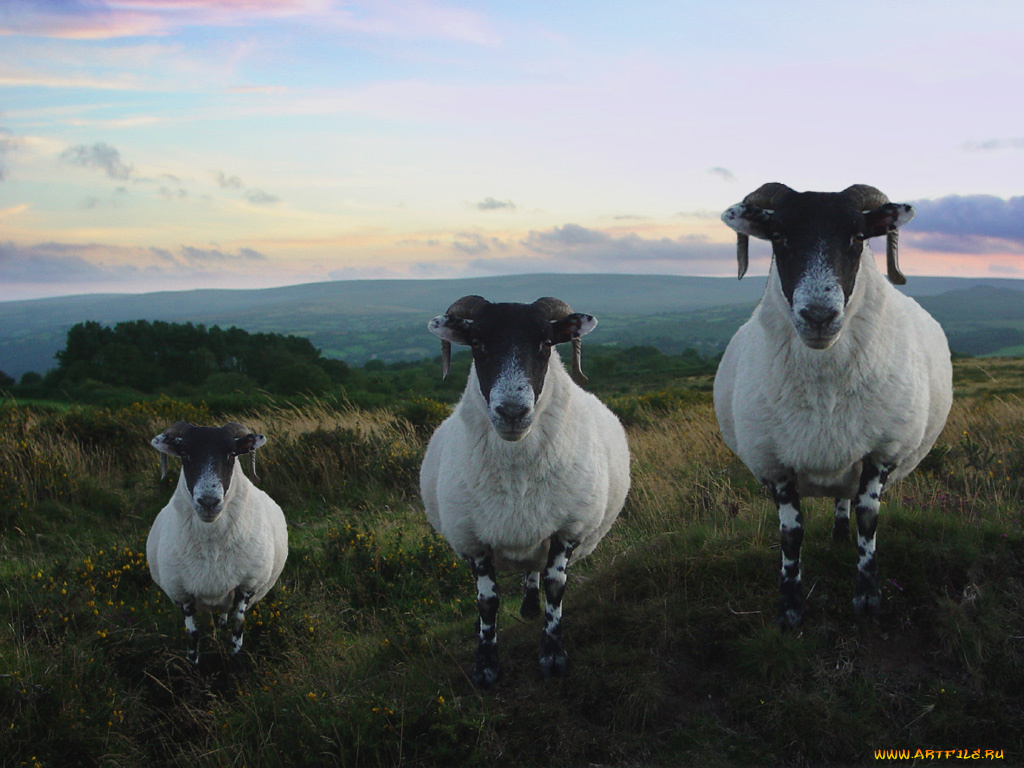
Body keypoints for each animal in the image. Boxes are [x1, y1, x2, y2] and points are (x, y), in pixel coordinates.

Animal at [146, 423, 288, 663]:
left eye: (231, 454)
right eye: (185, 455)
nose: (208, 502)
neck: (212, 549)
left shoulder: (246, 585)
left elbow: (237, 628)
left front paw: (235, 661)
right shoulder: (182, 593)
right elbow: (192, 635)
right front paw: (192, 665)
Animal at [417, 296, 626, 688]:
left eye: (546, 343)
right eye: (477, 343)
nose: (512, 412)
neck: (518, 478)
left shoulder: (568, 528)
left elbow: (555, 587)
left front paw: (553, 657)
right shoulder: (473, 541)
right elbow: (487, 603)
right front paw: (485, 666)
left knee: (535, 570)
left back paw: (531, 605)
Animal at [712, 183, 950, 626]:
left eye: (858, 238)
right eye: (779, 237)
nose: (819, 316)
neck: (825, 394)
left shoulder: (882, 452)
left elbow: (867, 519)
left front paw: (867, 600)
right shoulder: (775, 464)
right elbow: (791, 535)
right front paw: (789, 610)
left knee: (847, 499)